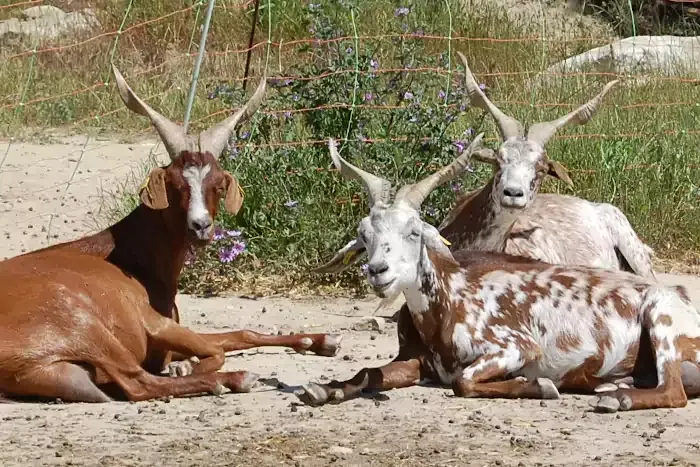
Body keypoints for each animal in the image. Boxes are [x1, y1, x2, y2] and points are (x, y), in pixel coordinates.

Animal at [0, 66, 342, 406]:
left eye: (218, 184)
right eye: (175, 185)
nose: (200, 226)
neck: (131, 256)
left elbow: (242, 335)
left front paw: (318, 340)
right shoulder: (154, 322)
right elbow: (215, 351)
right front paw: (189, 366)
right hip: (86, 327)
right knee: (138, 383)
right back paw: (232, 379)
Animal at [300, 133, 700, 414]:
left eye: (415, 231)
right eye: (364, 234)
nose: (377, 271)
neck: (449, 302)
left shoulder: (515, 346)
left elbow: (463, 382)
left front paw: (541, 387)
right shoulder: (416, 362)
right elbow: (370, 372)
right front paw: (324, 389)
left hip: (662, 320)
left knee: (674, 392)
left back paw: (617, 399)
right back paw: (609, 388)